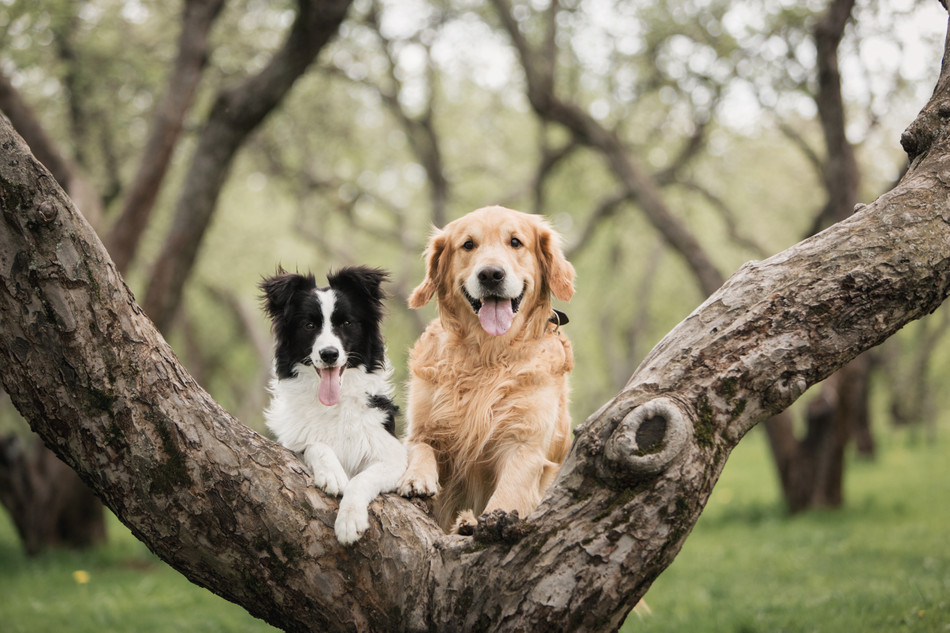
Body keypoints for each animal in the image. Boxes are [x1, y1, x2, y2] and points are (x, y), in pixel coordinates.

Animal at [262, 266, 408, 544]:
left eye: (346, 323)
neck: (334, 404)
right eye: (309, 325)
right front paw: (332, 473)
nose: (329, 354)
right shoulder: (292, 443)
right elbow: (315, 445)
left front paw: (349, 522)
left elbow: (361, 479)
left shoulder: (395, 457)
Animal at [398, 205, 576, 532]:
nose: (491, 274)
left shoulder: (524, 444)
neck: (488, 355)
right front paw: (417, 477)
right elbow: (420, 447)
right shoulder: (422, 428)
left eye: (515, 242)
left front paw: (480, 523)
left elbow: (507, 495)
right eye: (468, 245)